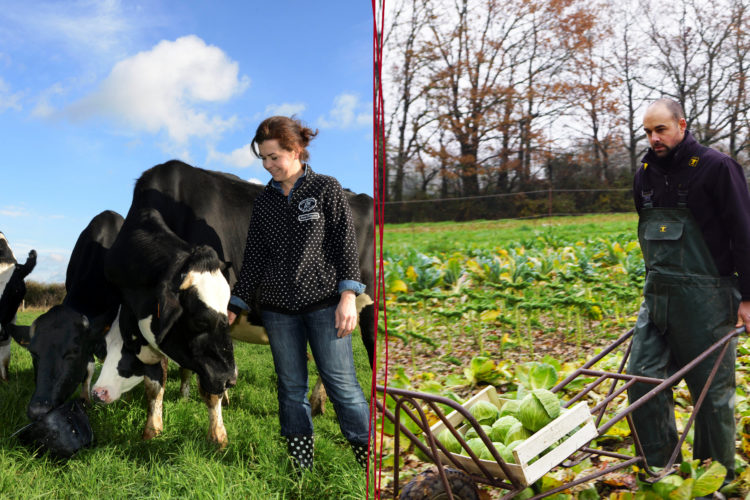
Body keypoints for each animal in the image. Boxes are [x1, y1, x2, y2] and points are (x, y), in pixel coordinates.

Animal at [93, 160, 376, 446]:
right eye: (200, 319)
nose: (231, 379)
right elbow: (155, 382)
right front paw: (152, 430)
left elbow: (208, 389)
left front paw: (218, 437)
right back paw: (318, 402)